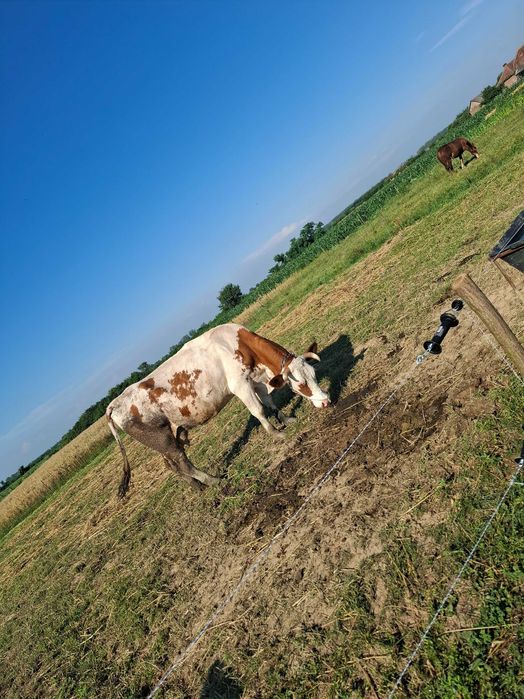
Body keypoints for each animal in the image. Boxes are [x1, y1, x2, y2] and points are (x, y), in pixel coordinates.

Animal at [106, 323, 331, 496]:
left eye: (313, 374)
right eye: (301, 384)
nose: (326, 401)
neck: (239, 345)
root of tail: (114, 404)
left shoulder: (255, 379)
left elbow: (269, 403)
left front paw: (286, 420)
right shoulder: (240, 384)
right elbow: (258, 410)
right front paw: (276, 433)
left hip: (162, 440)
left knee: (171, 465)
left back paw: (198, 487)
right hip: (162, 438)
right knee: (181, 461)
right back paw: (214, 481)